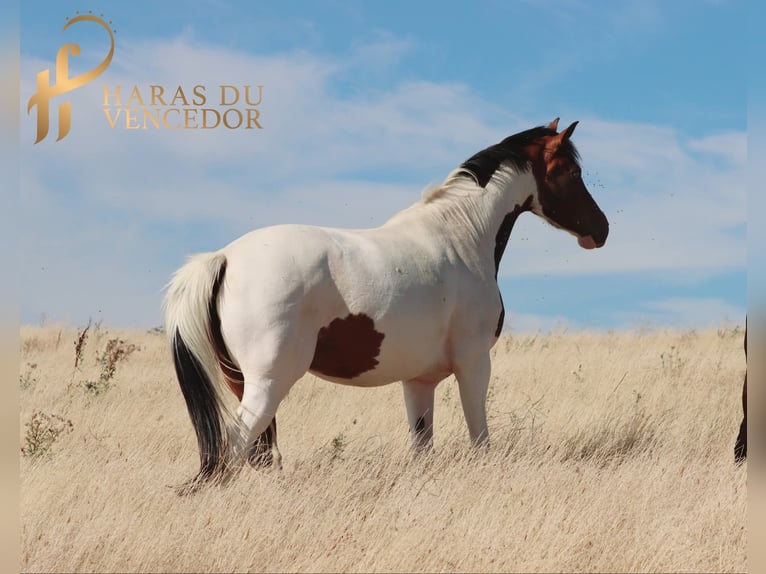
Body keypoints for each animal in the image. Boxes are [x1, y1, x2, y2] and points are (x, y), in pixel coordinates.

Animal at [164, 118, 609, 493]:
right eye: (571, 172)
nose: (601, 229)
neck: (459, 237)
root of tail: (224, 257)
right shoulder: (474, 364)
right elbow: (479, 437)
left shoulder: (419, 382)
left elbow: (422, 447)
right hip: (268, 385)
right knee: (233, 451)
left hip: (242, 382)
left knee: (257, 454)